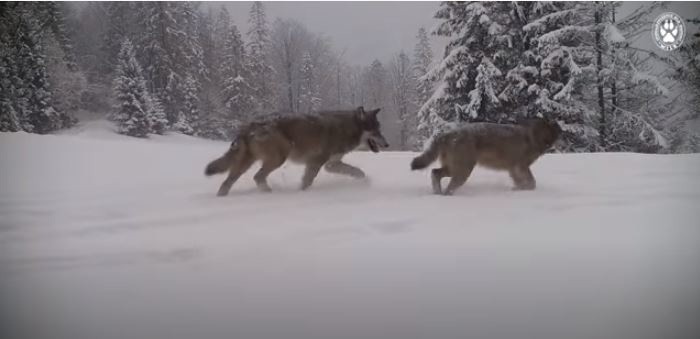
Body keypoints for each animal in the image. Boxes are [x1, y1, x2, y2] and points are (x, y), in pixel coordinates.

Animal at [204, 106, 388, 197]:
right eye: (376, 131)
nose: (387, 144)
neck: (346, 128)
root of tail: (249, 125)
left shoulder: (331, 164)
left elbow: (357, 171)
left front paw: (364, 181)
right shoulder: (316, 163)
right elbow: (307, 182)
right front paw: (301, 194)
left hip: (245, 163)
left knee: (227, 182)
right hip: (279, 157)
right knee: (257, 176)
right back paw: (268, 194)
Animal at [410, 117, 564, 195]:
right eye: (557, 130)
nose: (563, 131)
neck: (535, 136)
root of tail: (446, 133)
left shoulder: (513, 169)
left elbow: (521, 182)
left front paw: (517, 189)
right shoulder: (521, 166)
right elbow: (532, 183)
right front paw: (522, 189)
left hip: (453, 168)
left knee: (435, 173)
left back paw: (437, 193)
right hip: (463, 170)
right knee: (449, 185)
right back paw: (445, 194)